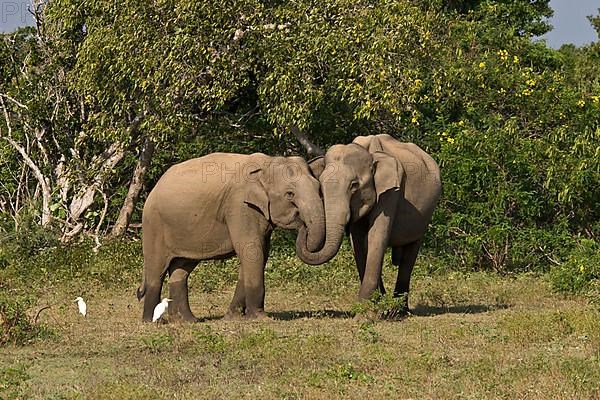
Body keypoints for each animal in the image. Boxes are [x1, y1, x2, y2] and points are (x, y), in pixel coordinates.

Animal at [137, 153, 324, 322]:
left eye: (319, 188)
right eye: (290, 194)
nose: (302, 224)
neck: (267, 163)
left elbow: (260, 253)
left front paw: (232, 318)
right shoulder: (239, 205)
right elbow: (251, 250)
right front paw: (261, 318)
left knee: (181, 269)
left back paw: (187, 321)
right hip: (154, 225)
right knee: (157, 270)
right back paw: (151, 321)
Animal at [296, 134, 440, 316]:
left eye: (354, 185)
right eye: (321, 186)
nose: (303, 226)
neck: (370, 154)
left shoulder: (391, 191)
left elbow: (375, 237)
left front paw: (364, 313)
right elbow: (358, 243)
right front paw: (375, 306)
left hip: (426, 214)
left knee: (410, 253)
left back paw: (399, 311)